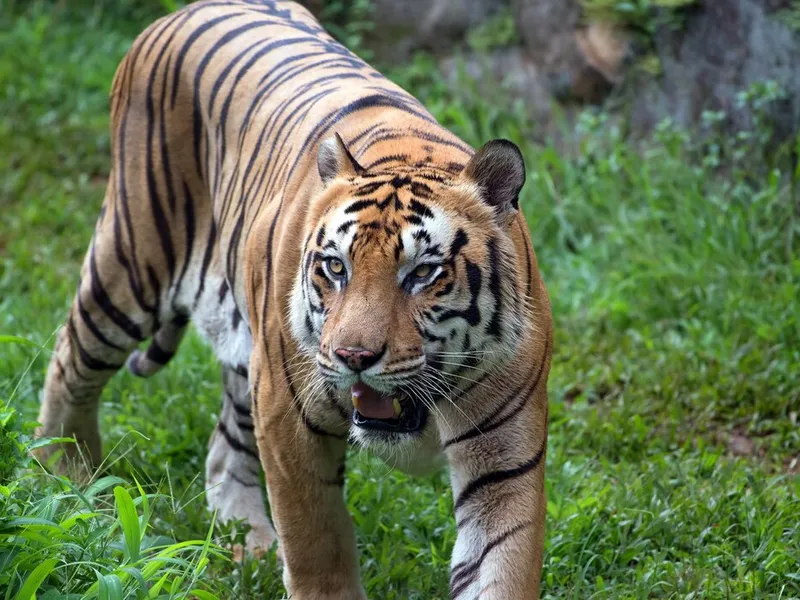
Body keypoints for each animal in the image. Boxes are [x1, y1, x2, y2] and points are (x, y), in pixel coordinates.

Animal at [36, 2, 552, 596]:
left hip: (243, 351)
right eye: (336, 267)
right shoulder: (288, 420)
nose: (354, 358)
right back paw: (67, 487)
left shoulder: (505, 461)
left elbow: (499, 566)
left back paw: (249, 548)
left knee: (222, 450)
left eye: (423, 273)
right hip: (133, 263)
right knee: (69, 361)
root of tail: (184, 11)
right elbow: (317, 547)